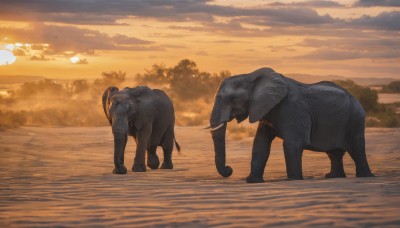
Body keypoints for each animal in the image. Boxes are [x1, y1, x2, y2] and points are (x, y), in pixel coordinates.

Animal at [208, 67, 374, 183]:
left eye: (232, 98)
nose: (229, 169)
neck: (250, 76)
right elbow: (260, 144)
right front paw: (252, 181)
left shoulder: (292, 108)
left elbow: (292, 144)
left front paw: (293, 180)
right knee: (334, 153)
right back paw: (333, 177)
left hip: (355, 119)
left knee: (357, 149)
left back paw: (366, 176)